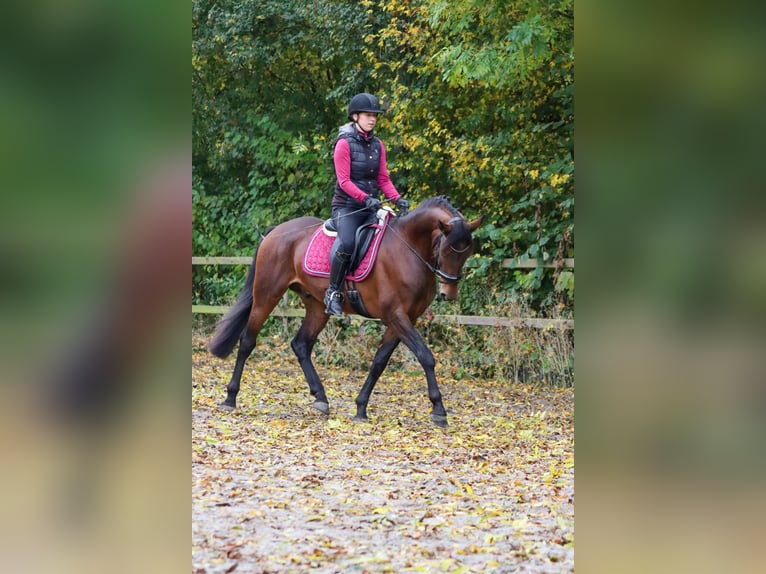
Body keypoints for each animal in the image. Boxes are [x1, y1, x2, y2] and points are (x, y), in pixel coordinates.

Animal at [208, 197, 486, 428]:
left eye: (468, 251)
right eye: (447, 248)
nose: (448, 293)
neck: (408, 248)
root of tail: (275, 232)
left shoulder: (403, 319)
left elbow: (379, 362)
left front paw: (361, 408)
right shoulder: (396, 316)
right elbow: (426, 357)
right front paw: (439, 410)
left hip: (317, 306)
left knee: (301, 344)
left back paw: (320, 398)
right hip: (267, 295)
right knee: (247, 341)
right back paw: (230, 398)